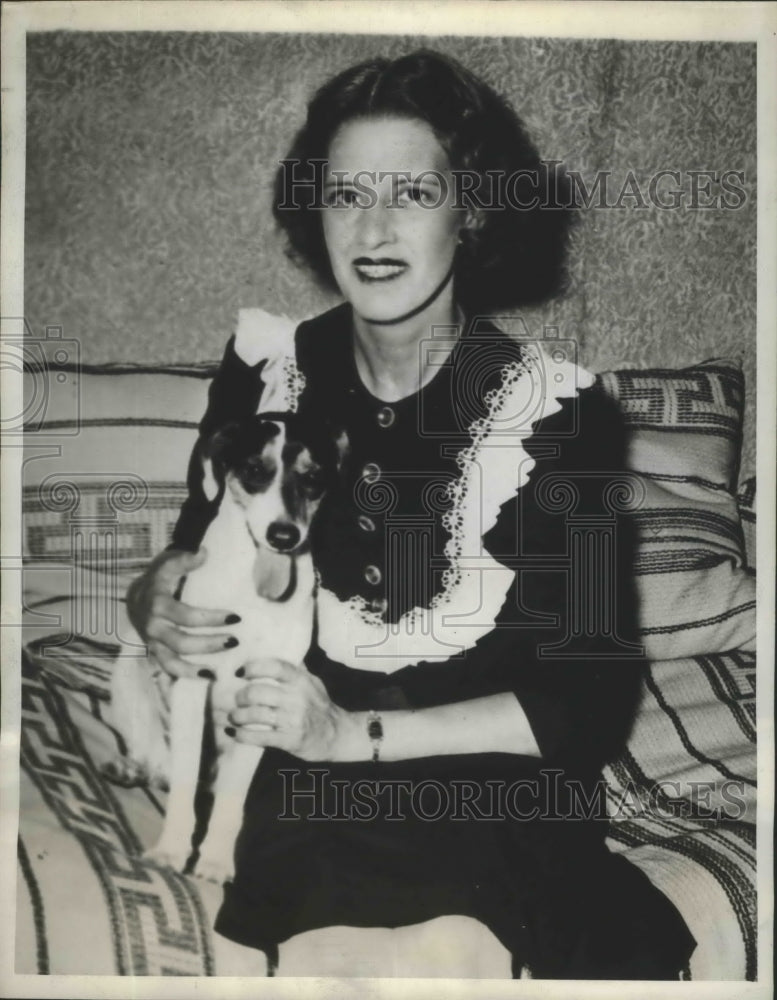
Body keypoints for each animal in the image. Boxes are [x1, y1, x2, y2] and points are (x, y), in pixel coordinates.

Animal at [106, 414, 346, 884]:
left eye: (313, 478)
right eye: (254, 470)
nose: (284, 535)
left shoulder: (265, 694)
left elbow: (231, 802)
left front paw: (215, 859)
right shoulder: (192, 679)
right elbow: (183, 787)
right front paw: (172, 851)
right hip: (128, 671)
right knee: (155, 757)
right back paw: (130, 766)